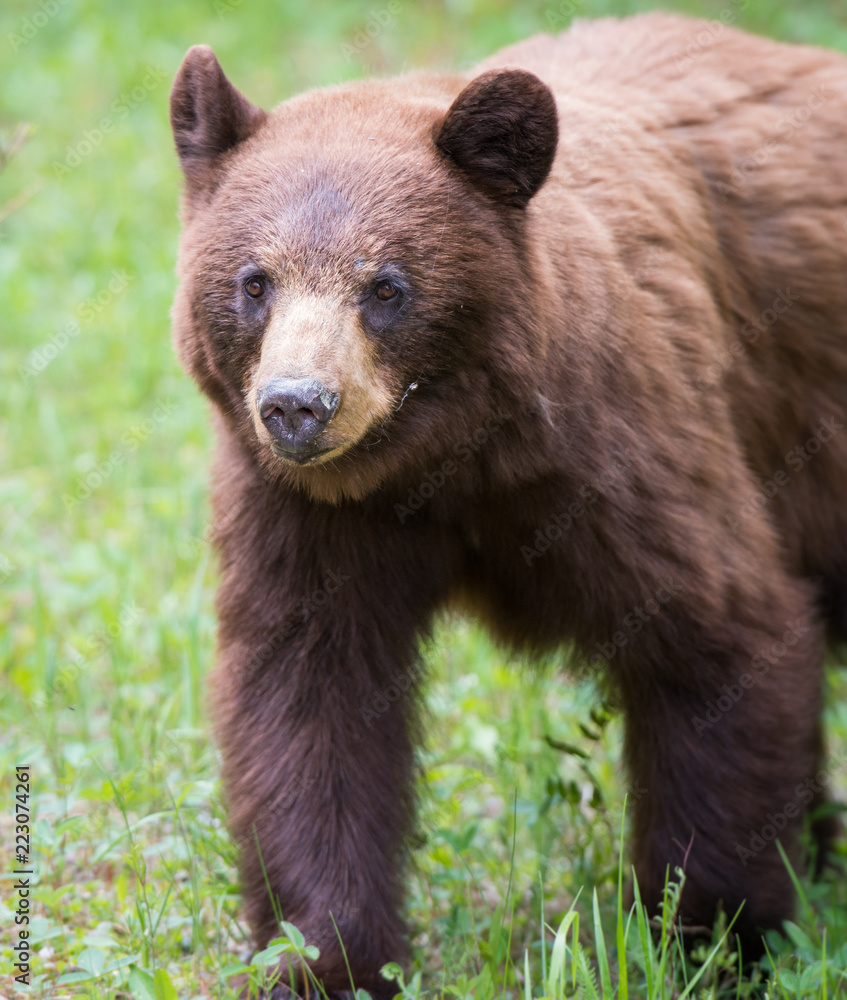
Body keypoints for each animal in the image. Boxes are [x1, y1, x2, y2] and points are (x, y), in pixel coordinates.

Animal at [169, 12, 847, 994]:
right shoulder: (303, 514)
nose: (297, 405)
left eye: (386, 286)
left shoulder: (624, 448)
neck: (448, 463)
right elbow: (307, 698)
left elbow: (719, 635)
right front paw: (328, 957)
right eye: (254, 282)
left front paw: (714, 941)